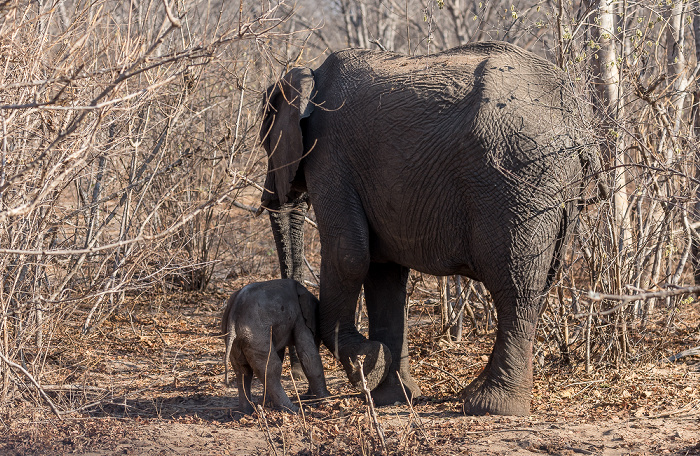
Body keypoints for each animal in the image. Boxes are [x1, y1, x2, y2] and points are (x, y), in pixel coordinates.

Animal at [221, 278, 330, 414]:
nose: (309, 396)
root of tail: (233, 314)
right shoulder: (299, 318)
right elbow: (307, 356)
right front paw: (327, 399)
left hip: (237, 339)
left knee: (243, 371)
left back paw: (246, 411)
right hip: (257, 335)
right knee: (271, 368)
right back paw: (294, 410)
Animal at [258, 41, 608, 416]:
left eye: (265, 143)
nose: (306, 389)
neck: (308, 76)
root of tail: (576, 120)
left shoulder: (329, 155)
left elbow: (348, 255)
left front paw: (368, 365)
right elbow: (383, 273)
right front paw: (393, 395)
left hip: (520, 180)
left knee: (516, 286)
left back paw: (491, 406)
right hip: (556, 190)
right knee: (540, 283)